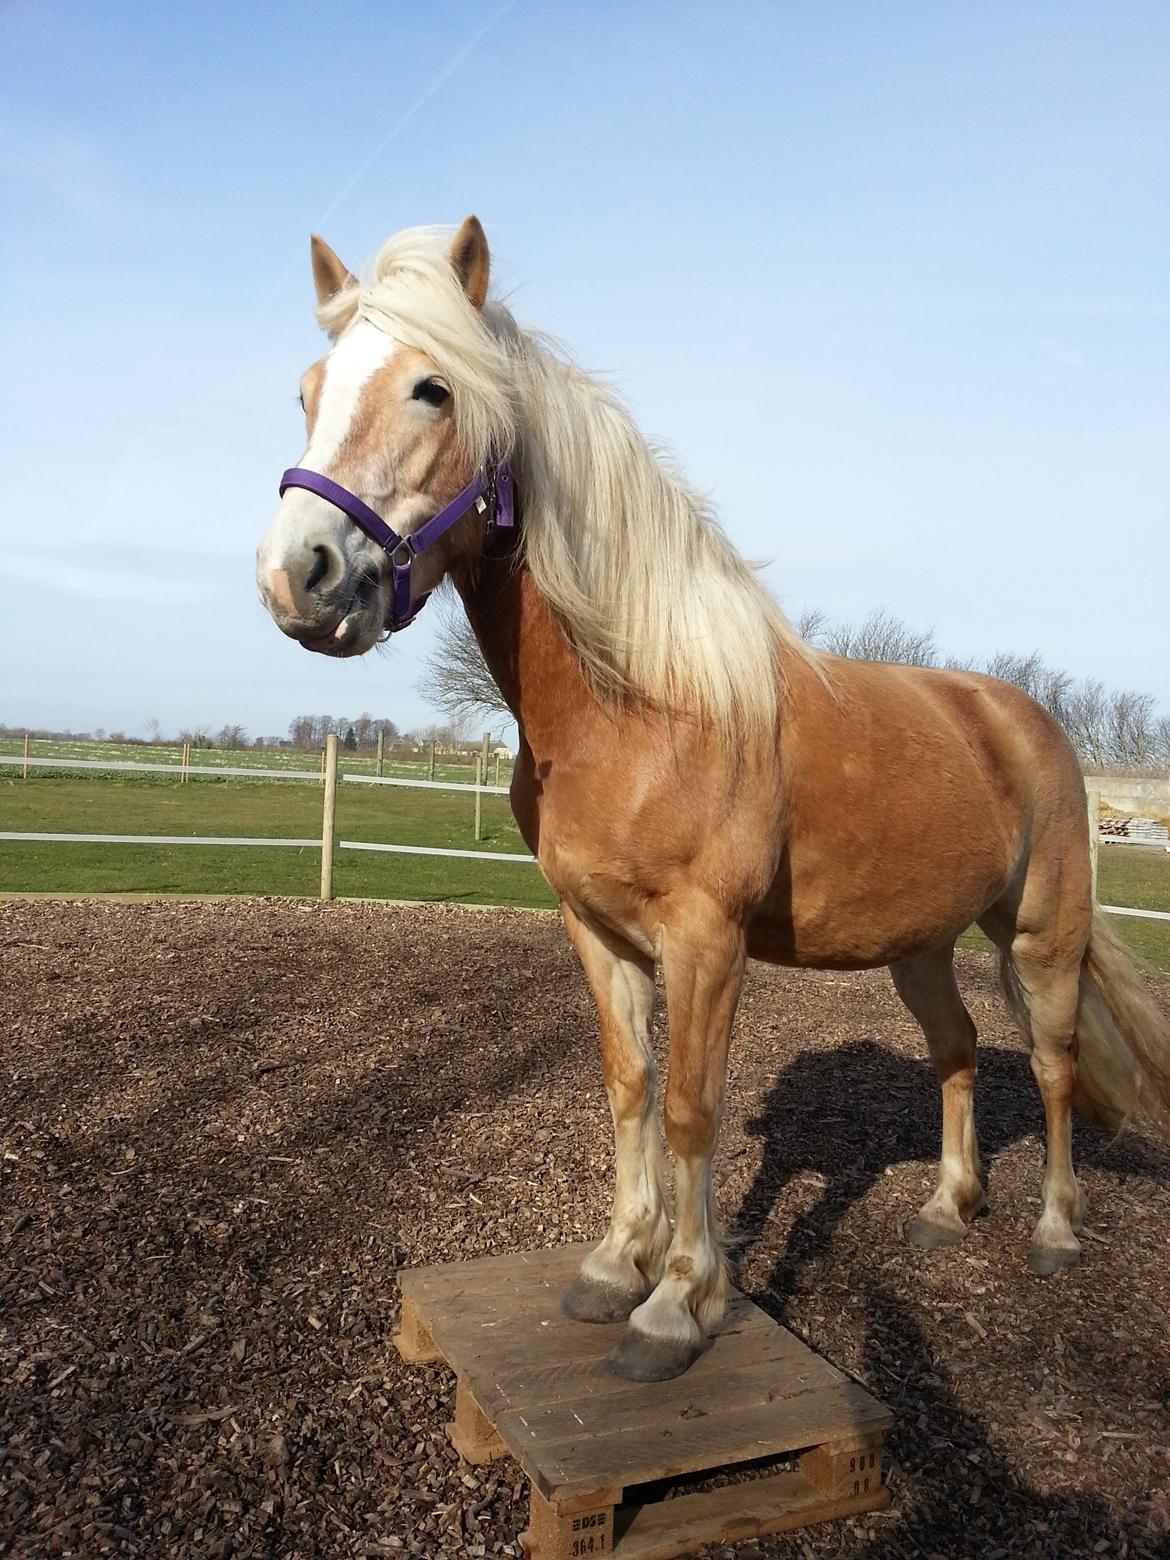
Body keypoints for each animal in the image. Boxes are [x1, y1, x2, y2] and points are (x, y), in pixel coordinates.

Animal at [255, 216, 1170, 1379]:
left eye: (433, 389)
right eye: (309, 390)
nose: (298, 575)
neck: (642, 702)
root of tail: (1026, 719)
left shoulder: (704, 940)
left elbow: (693, 1108)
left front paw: (679, 1303)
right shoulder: (599, 932)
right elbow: (631, 1089)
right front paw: (616, 1265)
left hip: (1045, 937)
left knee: (1052, 1069)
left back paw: (1054, 1230)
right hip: (919, 945)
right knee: (957, 1049)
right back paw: (947, 1208)